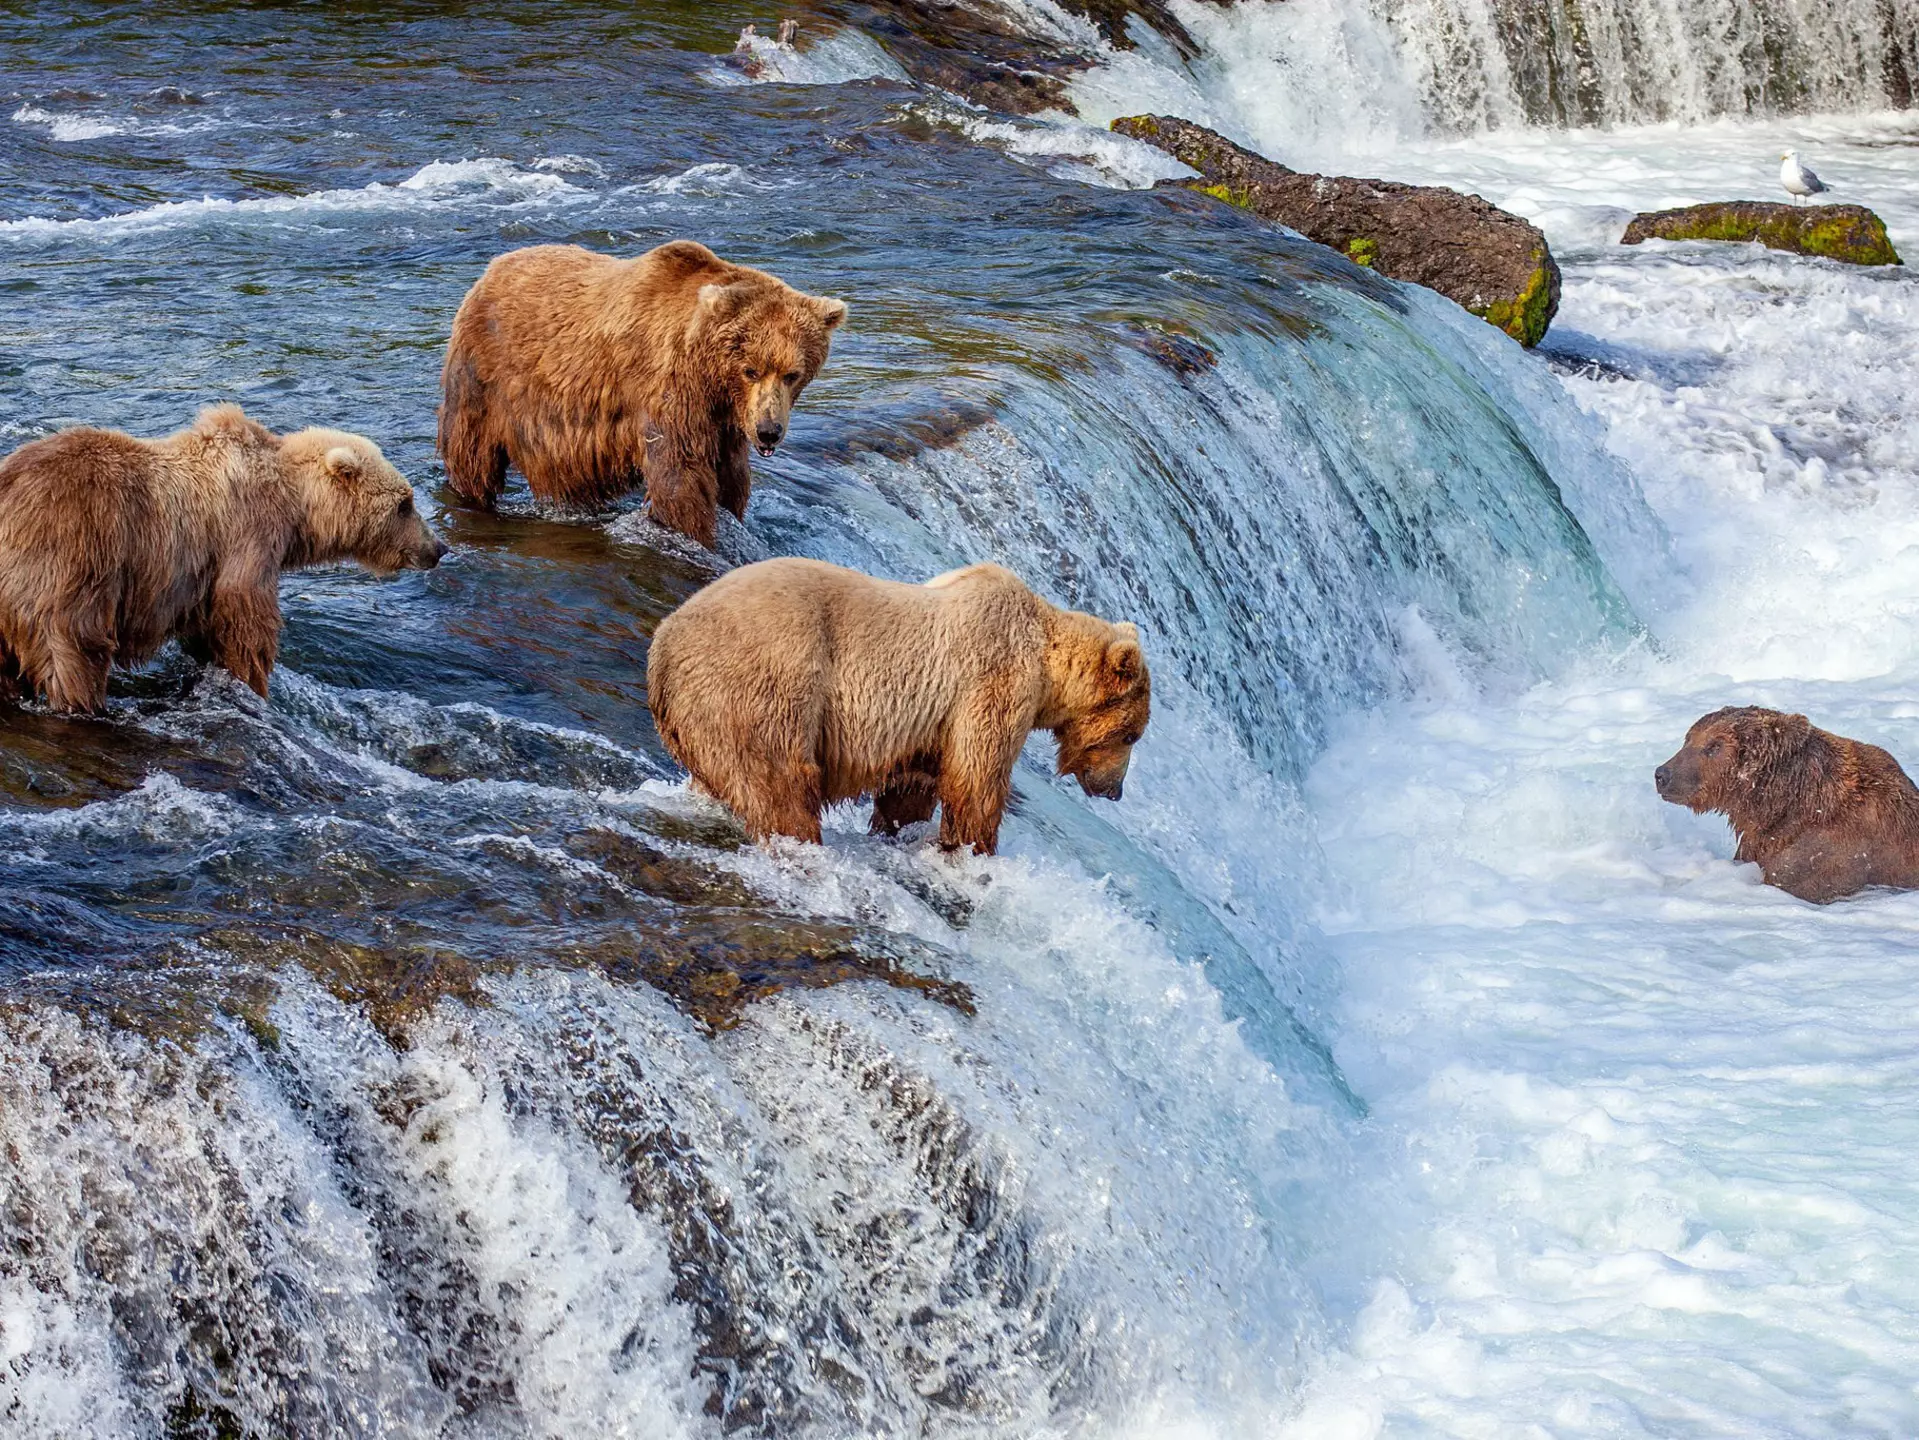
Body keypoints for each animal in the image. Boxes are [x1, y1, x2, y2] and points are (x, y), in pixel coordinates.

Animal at [0, 403, 447, 714]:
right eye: (405, 504)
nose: (438, 548)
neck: (294, 507)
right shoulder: (246, 536)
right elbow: (245, 618)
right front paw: (253, 682)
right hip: (70, 561)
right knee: (76, 651)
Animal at [436, 239, 847, 547]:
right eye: (752, 370)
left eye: (792, 374)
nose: (768, 431)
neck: (710, 376)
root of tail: (492, 267)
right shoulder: (669, 390)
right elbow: (680, 479)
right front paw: (696, 533)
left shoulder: (724, 421)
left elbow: (731, 478)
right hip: (484, 377)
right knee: (472, 454)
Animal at [646, 557, 1151, 855]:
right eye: (1130, 734)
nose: (1115, 790)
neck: (1046, 659)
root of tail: (662, 648)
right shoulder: (990, 681)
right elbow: (977, 780)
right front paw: (974, 849)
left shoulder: (928, 725)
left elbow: (912, 787)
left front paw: (897, 829)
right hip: (764, 685)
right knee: (780, 783)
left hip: (703, 717)